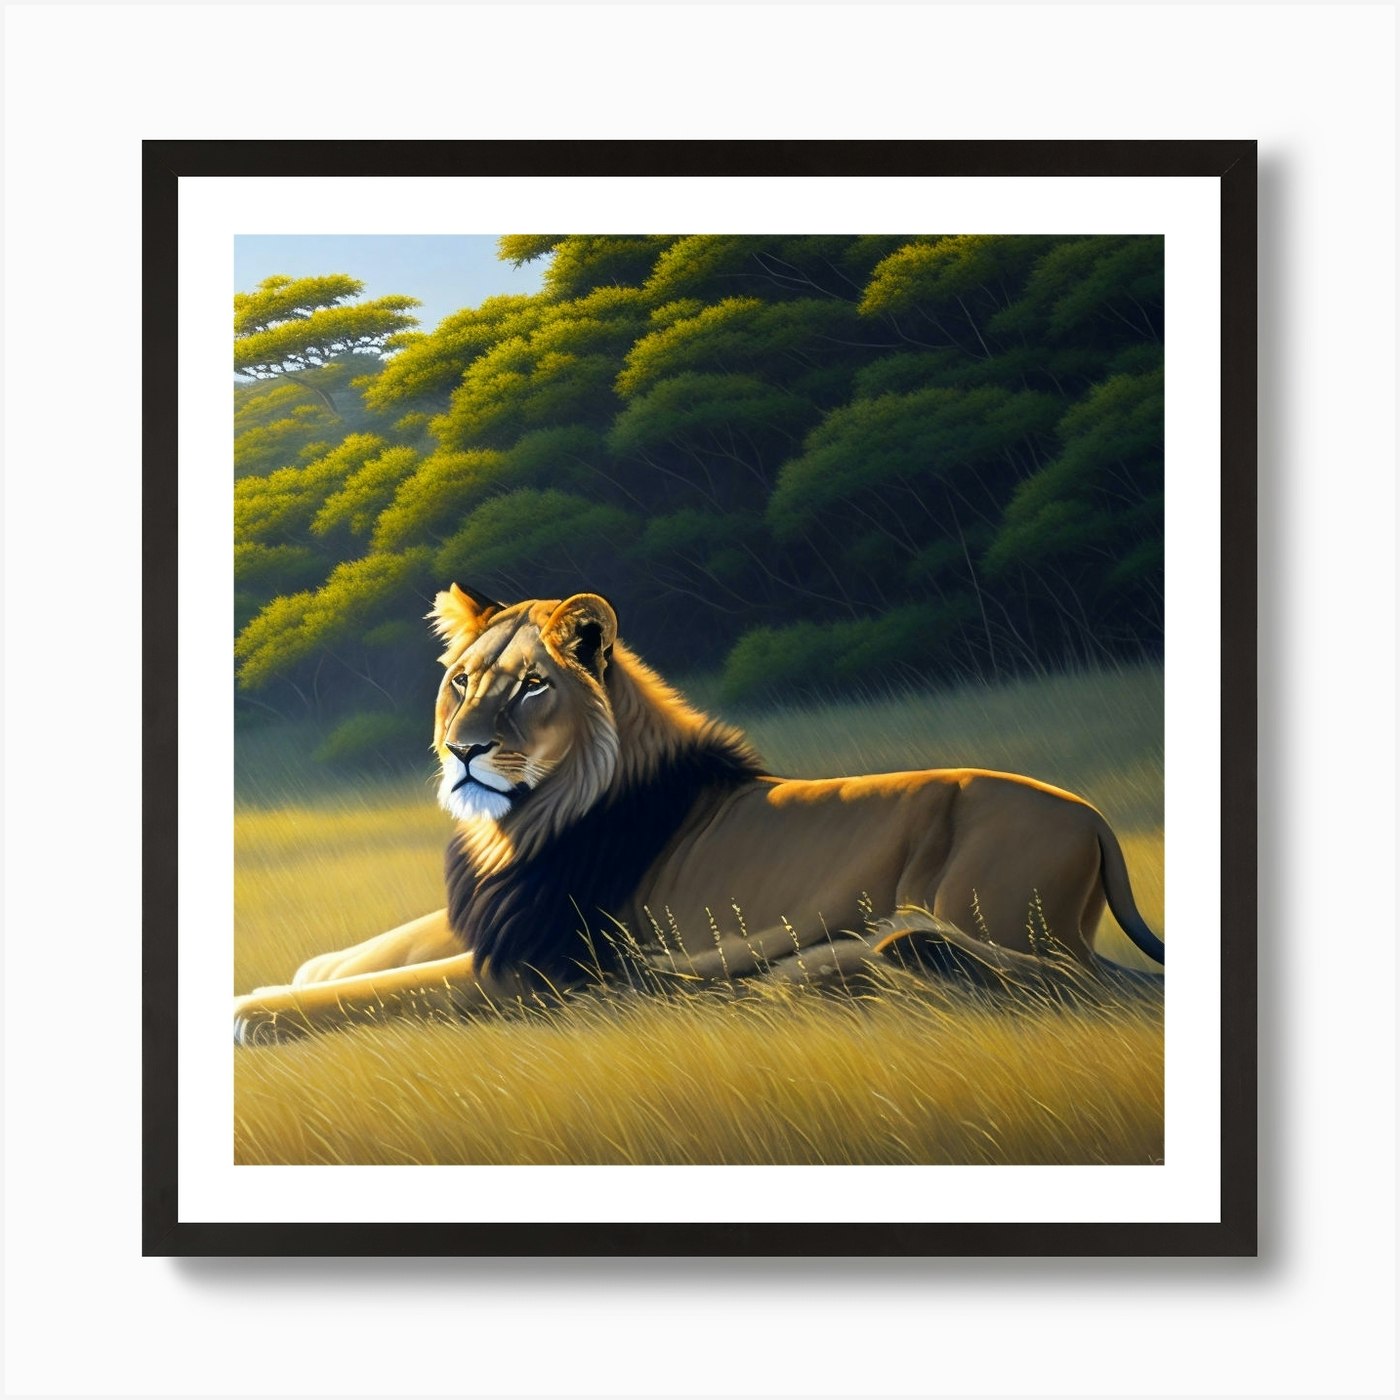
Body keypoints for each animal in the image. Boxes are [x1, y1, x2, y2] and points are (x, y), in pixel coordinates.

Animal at [233, 585, 1164, 1043]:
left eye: (532, 685)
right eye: (462, 680)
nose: (463, 750)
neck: (522, 824)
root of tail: (1097, 820)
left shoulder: (540, 967)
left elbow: (393, 988)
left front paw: (254, 1010)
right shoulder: (500, 912)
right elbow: (402, 941)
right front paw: (311, 967)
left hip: (1003, 915)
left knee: (1073, 990)